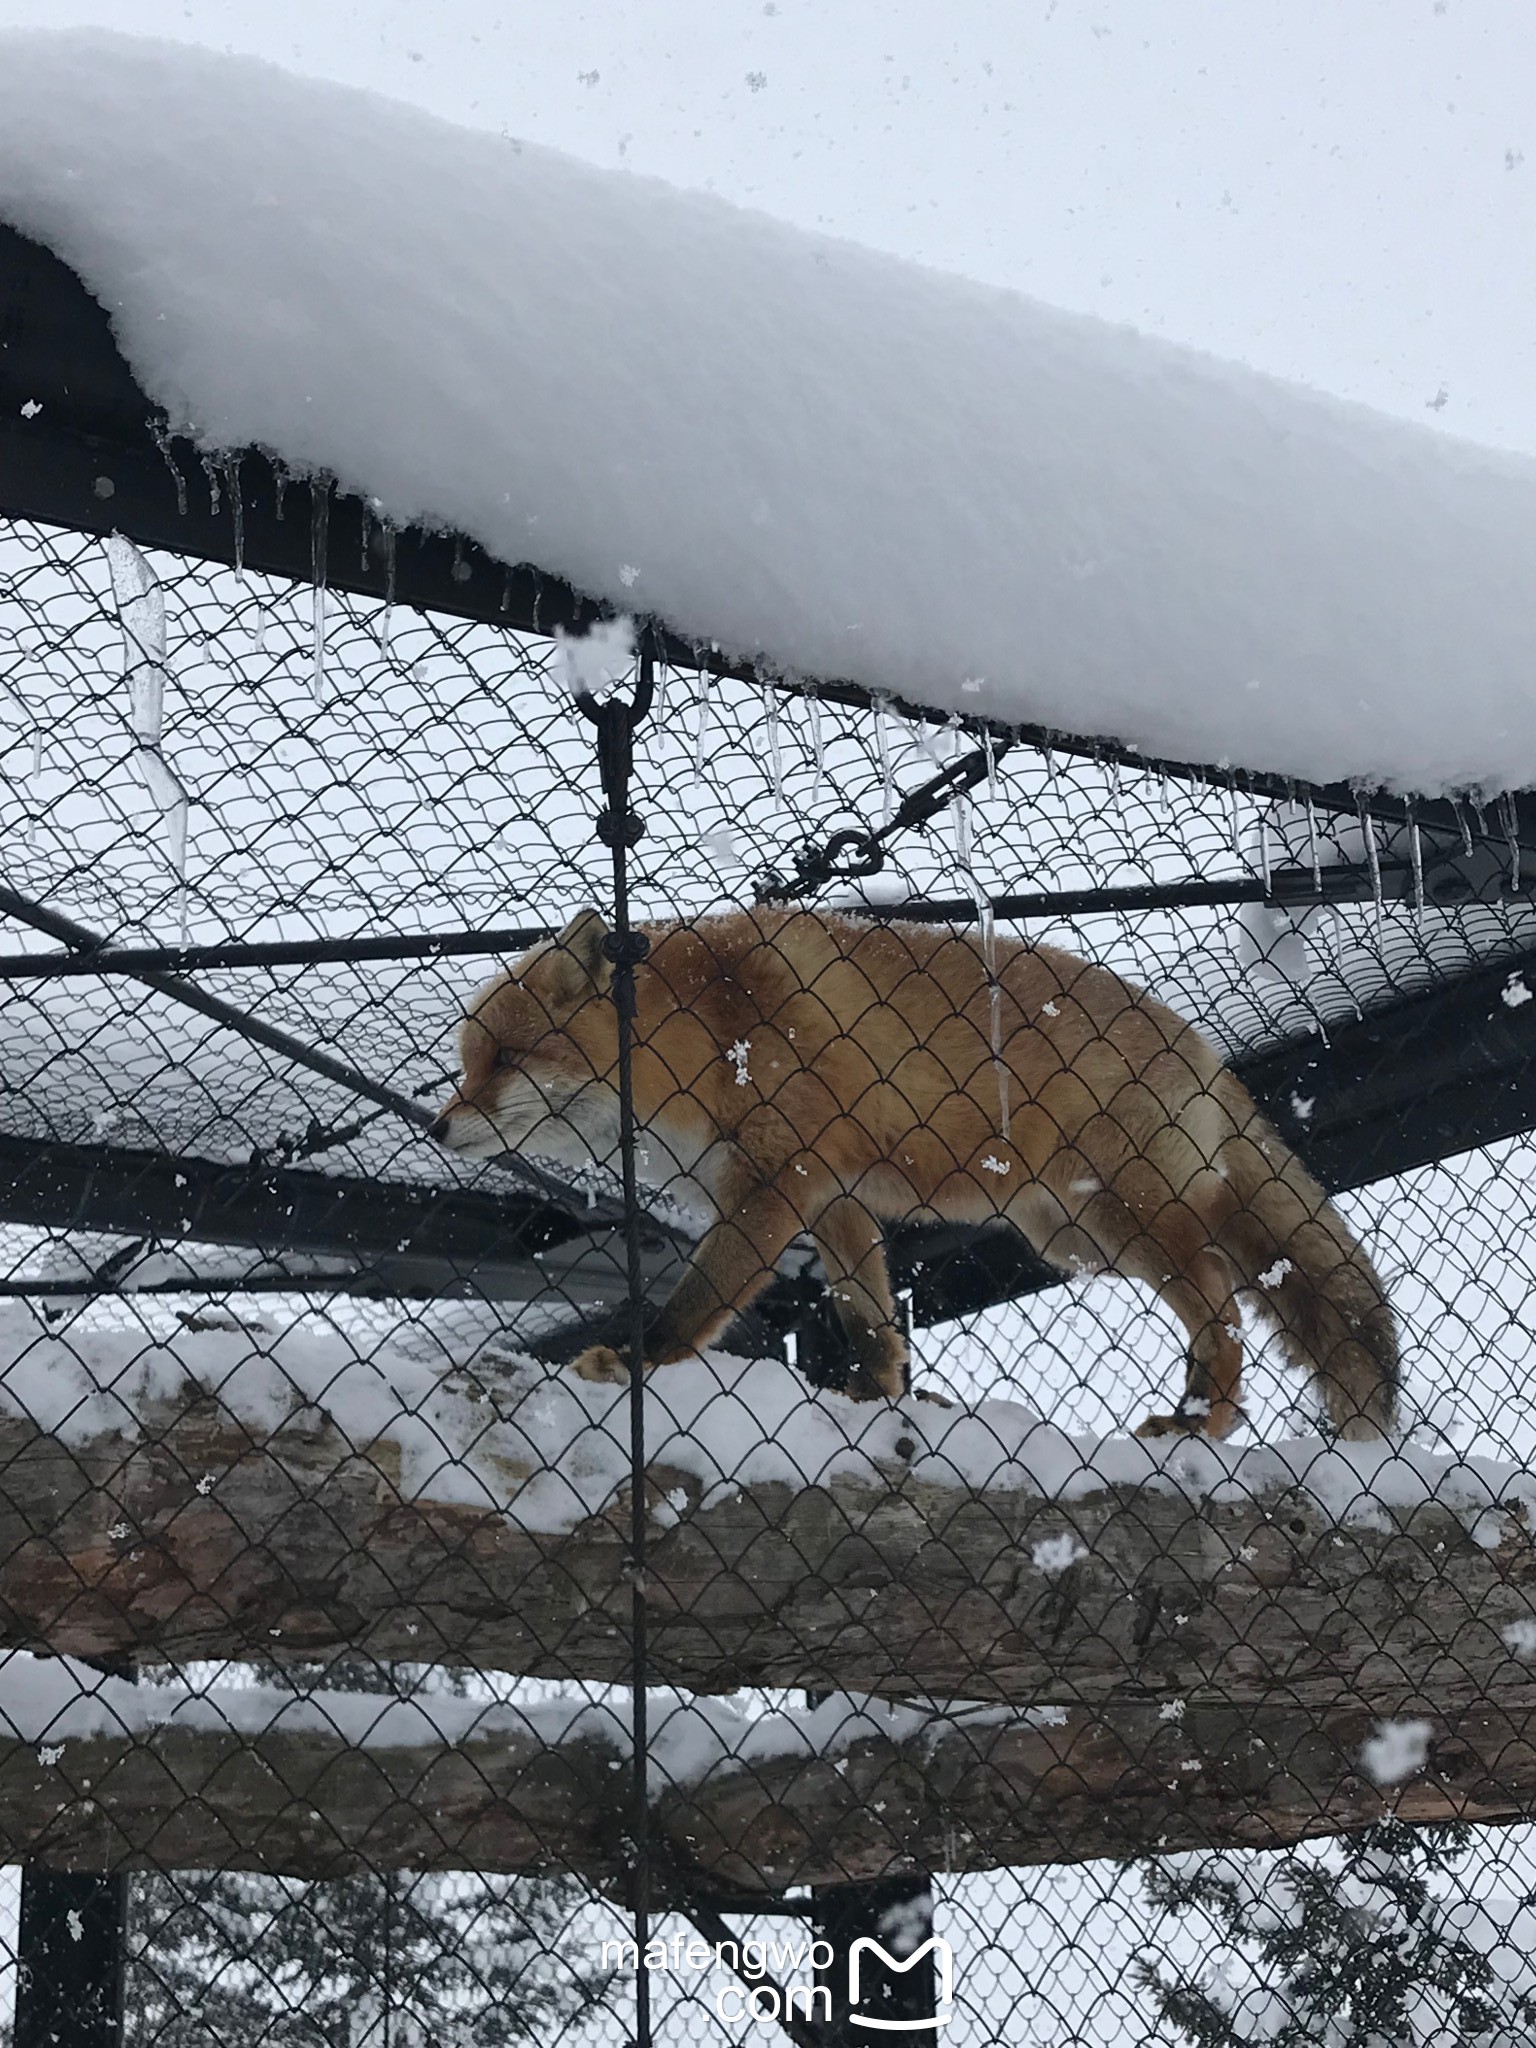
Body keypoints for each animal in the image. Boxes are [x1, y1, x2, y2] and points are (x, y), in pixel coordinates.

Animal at [430, 913, 1392, 1441]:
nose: (437, 1126)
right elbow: (869, 1321)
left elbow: (699, 1302)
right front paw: (875, 1402)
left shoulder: (774, 1184)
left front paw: (635, 1360)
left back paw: (1201, 1424)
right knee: (1233, 1283)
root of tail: (1202, 1046)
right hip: (1076, 1237)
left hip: (1132, 1216)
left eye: (504, 1059)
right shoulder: (835, 1200)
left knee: (1226, 1305)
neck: (700, 1039)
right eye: (466, 1064)